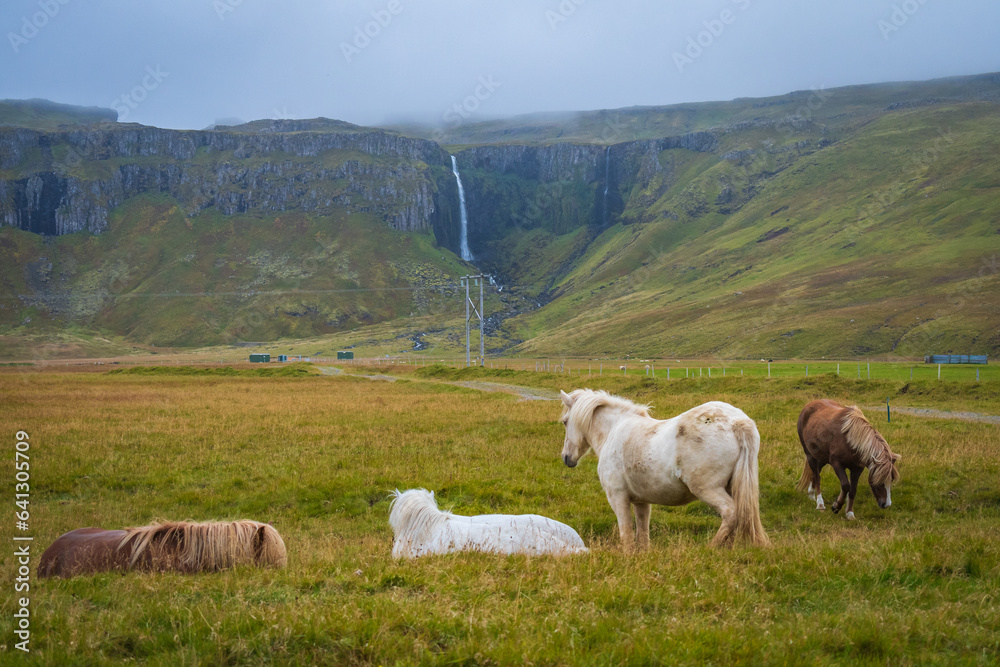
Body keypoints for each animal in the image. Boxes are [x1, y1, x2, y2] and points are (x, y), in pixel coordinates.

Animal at [560, 392, 768, 548]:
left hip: (708, 490)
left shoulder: (617, 497)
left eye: (565, 422)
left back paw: (712, 548)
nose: (566, 458)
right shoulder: (641, 502)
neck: (614, 430)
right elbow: (642, 534)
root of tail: (736, 423)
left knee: (730, 513)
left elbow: (626, 535)